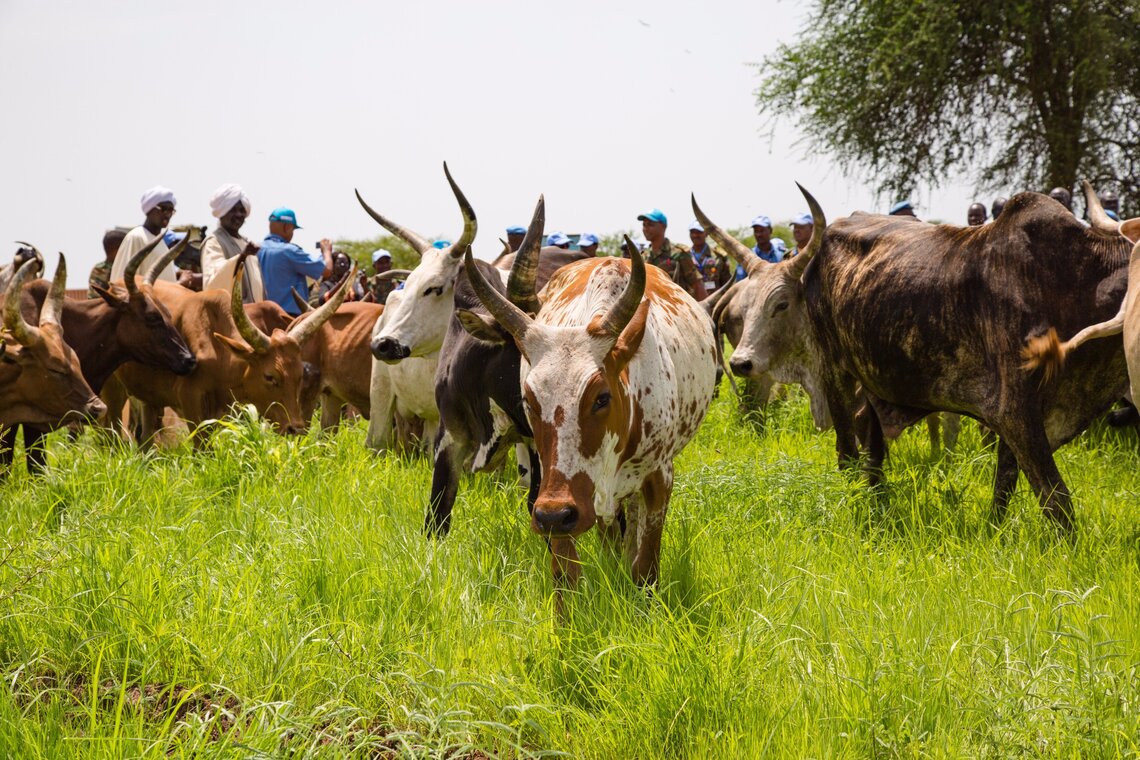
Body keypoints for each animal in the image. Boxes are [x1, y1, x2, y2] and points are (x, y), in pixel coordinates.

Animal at [460, 238, 711, 601]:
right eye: (529, 400)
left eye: (601, 398)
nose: (554, 515)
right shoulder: (556, 496)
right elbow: (566, 575)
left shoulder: (659, 477)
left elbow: (646, 567)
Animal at [715, 184, 1126, 528]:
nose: (740, 362)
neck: (1073, 282)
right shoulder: (1015, 410)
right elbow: (1056, 499)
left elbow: (1006, 481)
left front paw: (993, 531)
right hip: (834, 370)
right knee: (847, 453)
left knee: (872, 448)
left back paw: (878, 499)